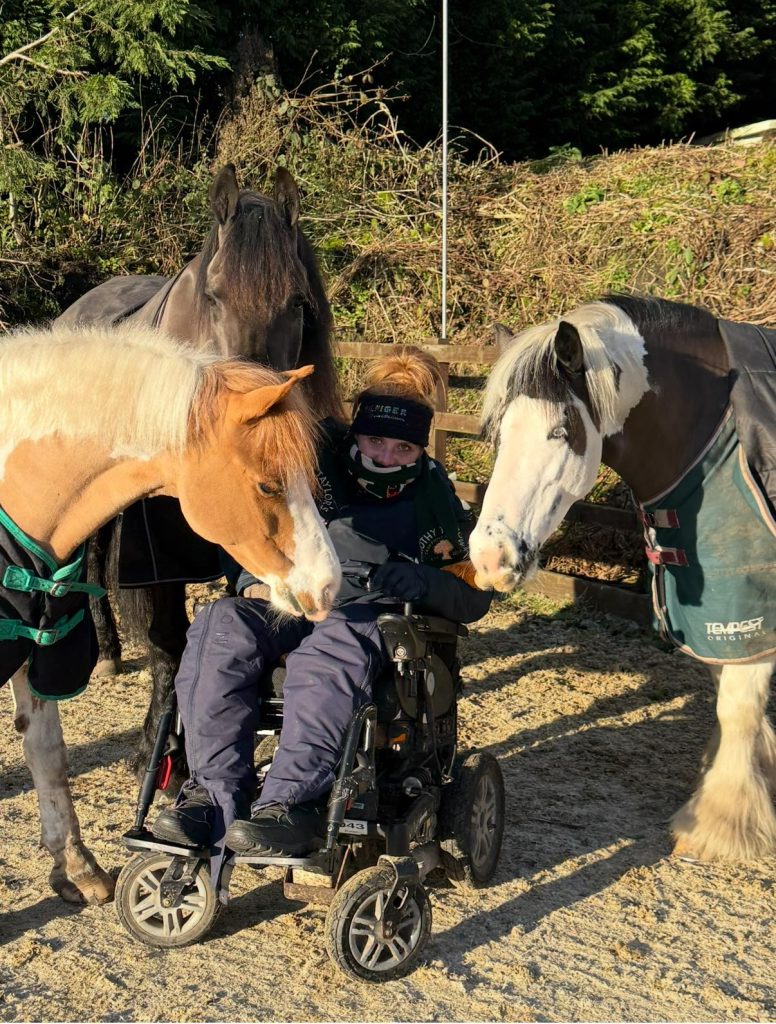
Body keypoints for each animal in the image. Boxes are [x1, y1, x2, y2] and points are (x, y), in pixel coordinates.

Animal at [54, 163, 343, 782]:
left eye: (299, 302)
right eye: (212, 296)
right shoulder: (156, 554)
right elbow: (169, 640)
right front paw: (161, 751)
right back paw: (105, 650)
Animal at [469, 294, 776, 861]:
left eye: (561, 431)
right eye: (499, 434)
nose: (490, 558)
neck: (713, 431)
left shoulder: (748, 604)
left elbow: (738, 707)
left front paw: (718, 826)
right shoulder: (711, 611)